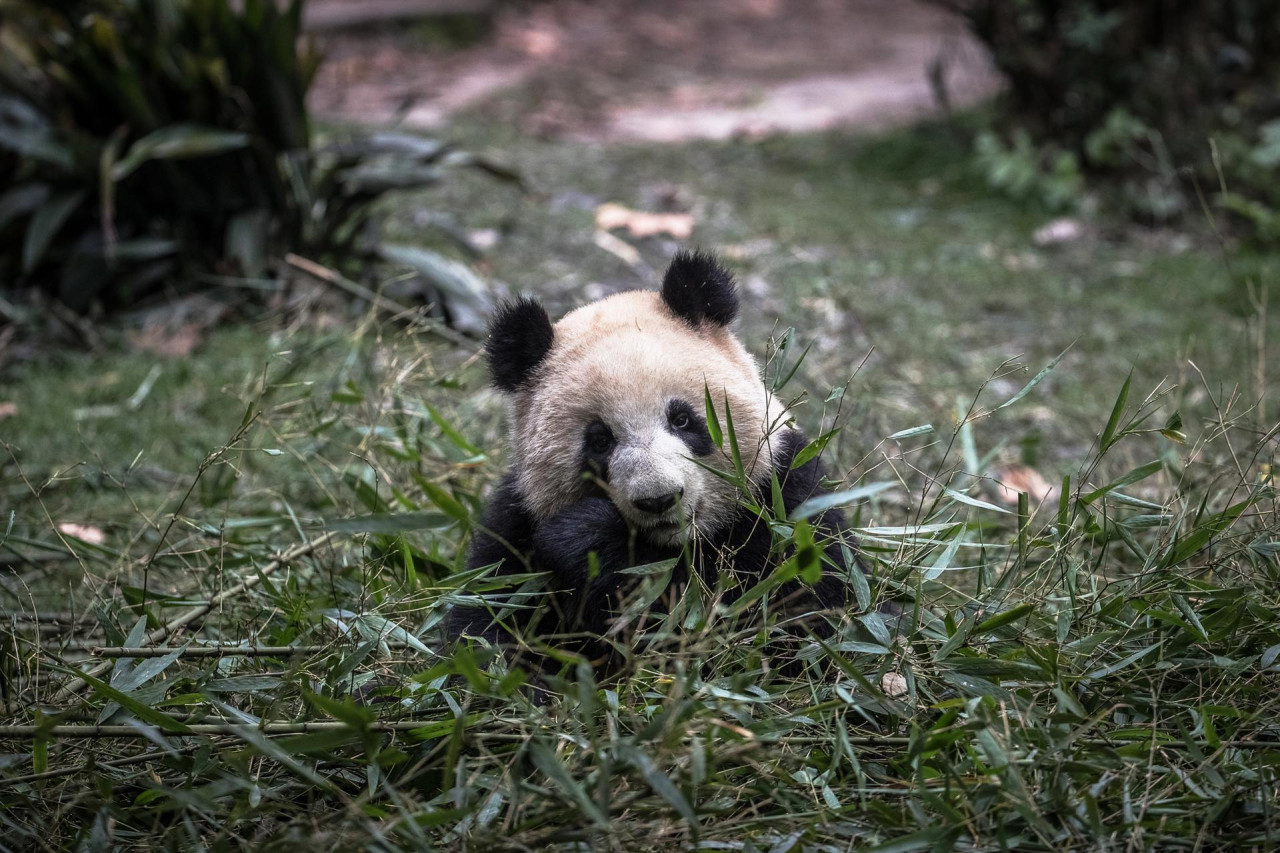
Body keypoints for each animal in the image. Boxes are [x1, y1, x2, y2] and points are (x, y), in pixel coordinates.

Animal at [445, 247, 865, 676]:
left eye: (682, 419)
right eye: (599, 441)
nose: (659, 499)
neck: (674, 544)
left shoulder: (785, 493)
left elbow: (796, 613)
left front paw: (591, 537)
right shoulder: (516, 526)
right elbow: (485, 626)